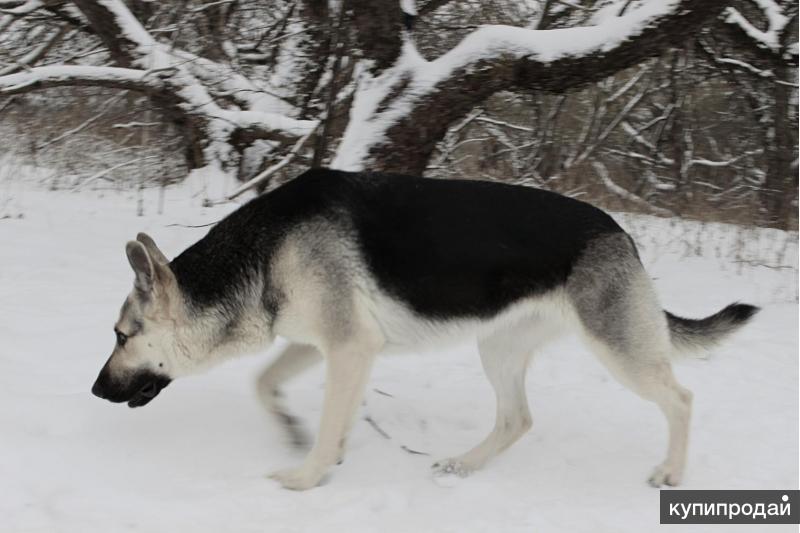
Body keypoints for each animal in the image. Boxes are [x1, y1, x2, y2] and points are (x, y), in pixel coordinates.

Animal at [90, 169, 760, 490]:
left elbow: (324, 419)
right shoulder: (324, 345)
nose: (95, 391)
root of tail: (623, 233)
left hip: (617, 349)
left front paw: (306, 477)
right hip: (498, 348)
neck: (263, 250)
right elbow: (266, 384)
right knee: (517, 419)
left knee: (681, 398)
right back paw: (464, 466)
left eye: (121, 336)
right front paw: (299, 434)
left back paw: (671, 473)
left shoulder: (350, 347)